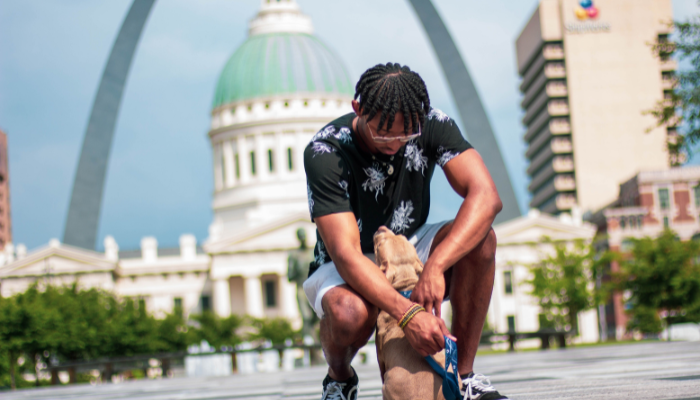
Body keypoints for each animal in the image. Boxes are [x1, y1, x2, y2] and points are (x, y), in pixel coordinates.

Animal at [372, 227, 448, 400]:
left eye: (379, 245)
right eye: (402, 235)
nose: (380, 227)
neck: (404, 289)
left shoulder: (381, 356)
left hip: (388, 382)